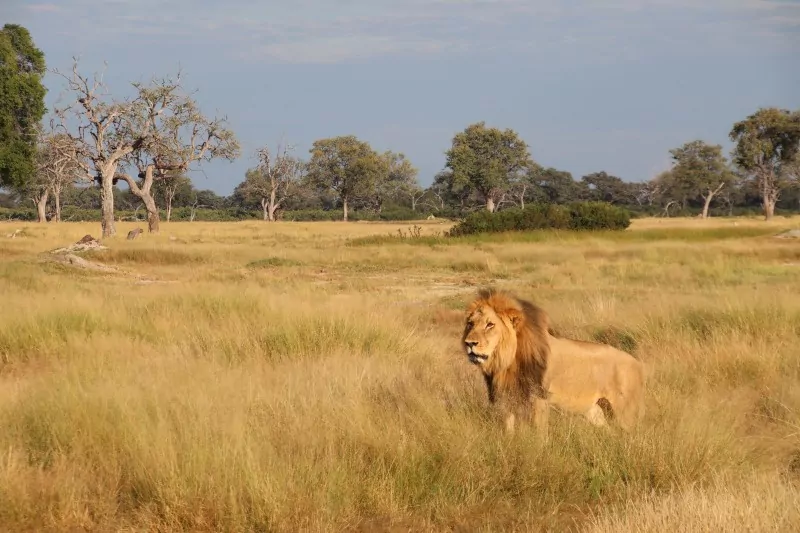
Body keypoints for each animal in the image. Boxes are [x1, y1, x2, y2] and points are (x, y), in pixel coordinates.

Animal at [462, 287, 645, 434]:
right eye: (470, 324)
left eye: (490, 325)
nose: (469, 343)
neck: (507, 362)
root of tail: (637, 363)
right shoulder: (507, 397)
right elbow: (508, 429)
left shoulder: (539, 398)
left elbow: (539, 434)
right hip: (596, 411)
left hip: (624, 412)